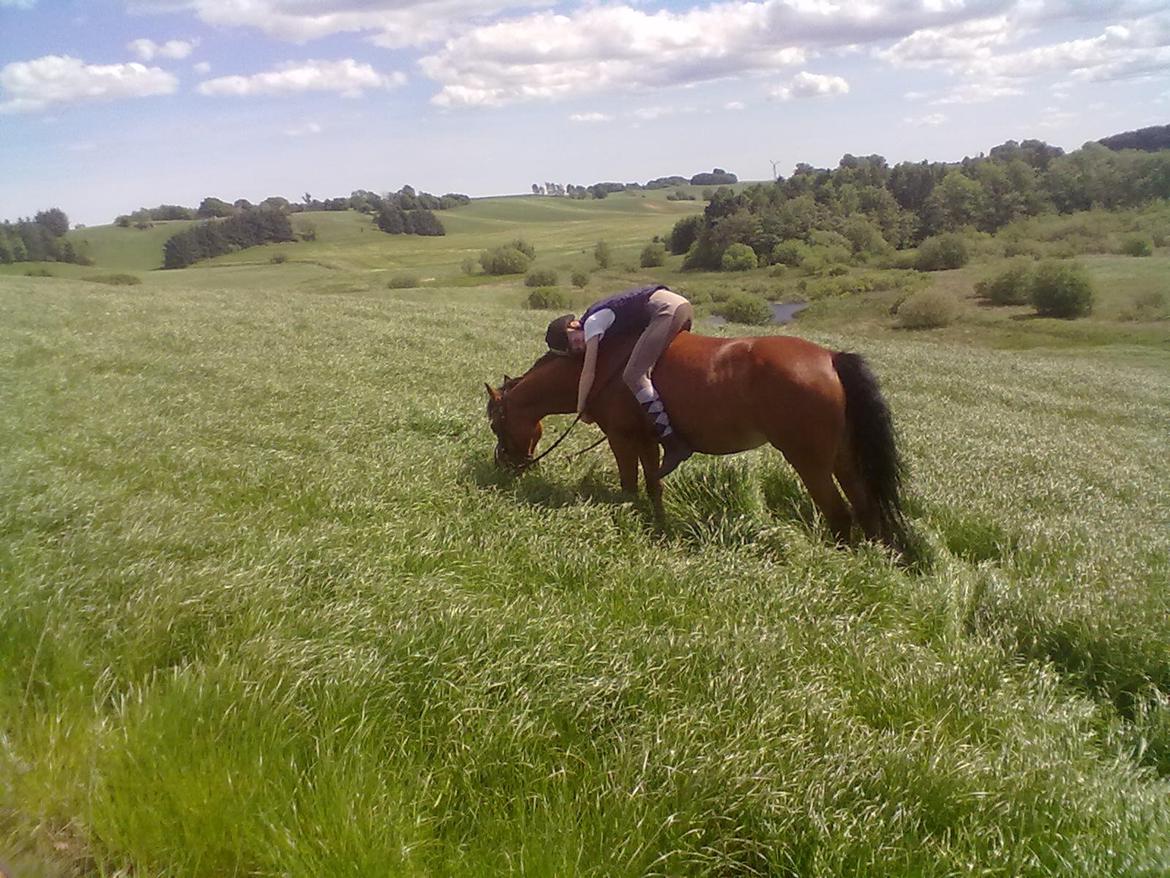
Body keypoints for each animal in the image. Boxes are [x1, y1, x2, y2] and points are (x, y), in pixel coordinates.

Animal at [484, 332, 903, 550]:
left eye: (496, 424)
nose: (505, 467)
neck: (602, 365)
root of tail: (831, 358)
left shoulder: (621, 438)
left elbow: (629, 483)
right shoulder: (648, 441)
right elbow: (654, 485)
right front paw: (658, 526)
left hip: (809, 461)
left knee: (840, 514)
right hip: (843, 458)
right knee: (866, 507)